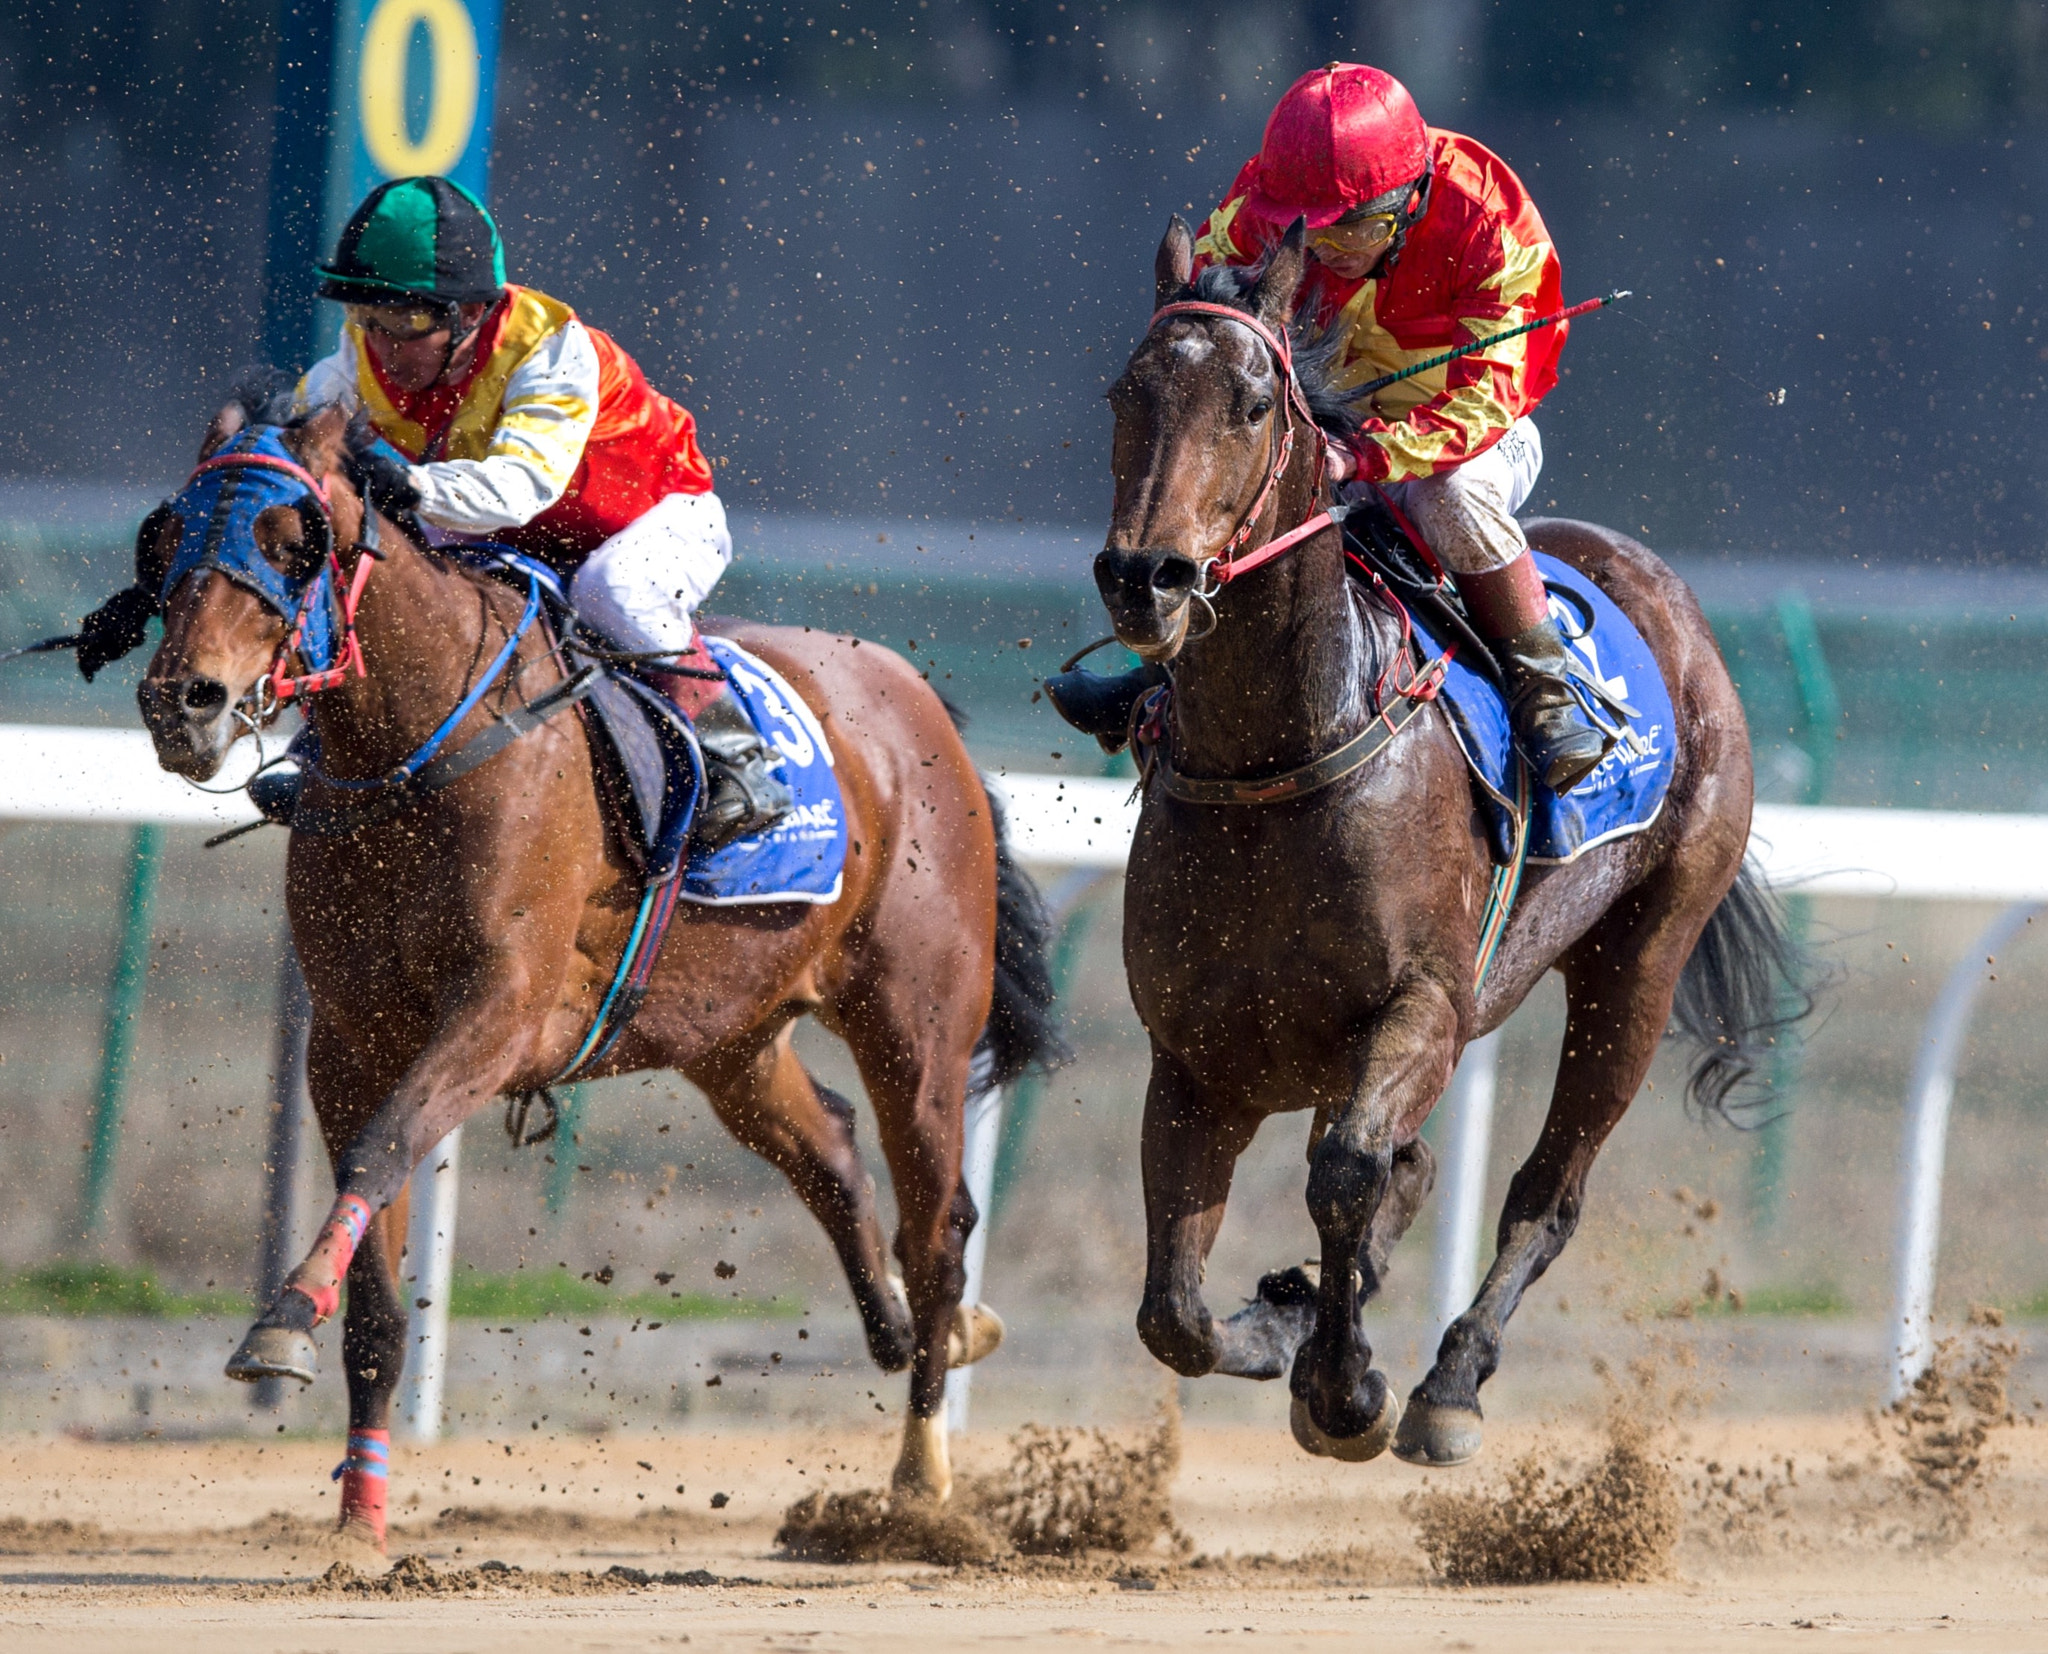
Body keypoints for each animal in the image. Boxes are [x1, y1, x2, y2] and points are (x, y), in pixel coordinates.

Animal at [134, 402, 1061, 1543]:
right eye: (169, 535)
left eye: (289, 540)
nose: (183, 701)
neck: (418, 748)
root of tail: (919, 700)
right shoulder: (351, 1038)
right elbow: (375, 1270)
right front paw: (360, 1516)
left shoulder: (499, 1012)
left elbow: (386, 1148)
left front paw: (282, 1320)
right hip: (730, 1034)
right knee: (832, 1153)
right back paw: (912, 1331)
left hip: (916, 1020)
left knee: (939, 1228)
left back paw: (920, 1482)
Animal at [1095, 218, 1799, 1468]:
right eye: (1125, 391)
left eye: (1250, 405)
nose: (1145, 578)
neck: (1280, 755)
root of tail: (1665, 594)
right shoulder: (1194, 1057)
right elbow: (1172, 1311)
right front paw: (1278, 1327)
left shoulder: (1421, 1002)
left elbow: (1343, 1171)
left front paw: (1346, 1387)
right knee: (1408, 1169)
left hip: (1639, 957)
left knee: (1542, 1190)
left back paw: (1448, 1384)